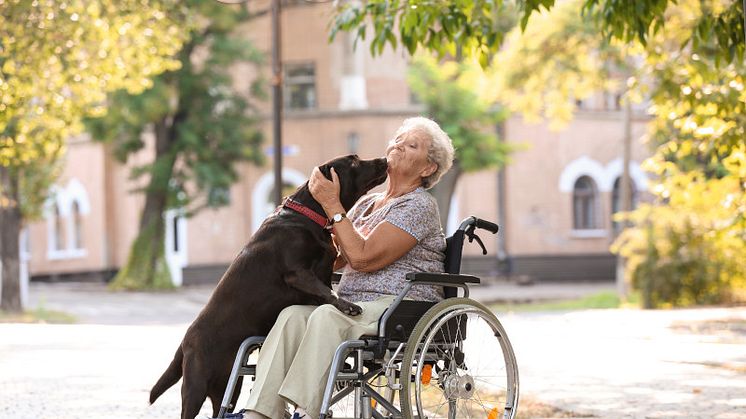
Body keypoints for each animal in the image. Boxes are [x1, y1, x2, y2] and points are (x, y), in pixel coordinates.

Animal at [148, 155, 386, 419]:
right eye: (354, 163)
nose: (384, 159)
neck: (310, 216)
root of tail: (184, 341)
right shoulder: (298, 273)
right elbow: (327, 292)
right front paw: (348, 306)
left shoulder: (322, 273)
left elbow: (323, 297)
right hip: (196, 387)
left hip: (229, 386)